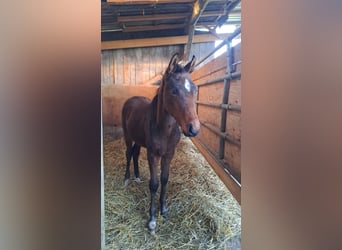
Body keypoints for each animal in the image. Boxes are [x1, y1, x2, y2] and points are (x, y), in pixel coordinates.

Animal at [121, 53, 199, 232]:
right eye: (174, 91)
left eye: (195, 89)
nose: (194, 129)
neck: (165, 129)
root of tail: (131, 99)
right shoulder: (153, 155)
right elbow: (154, 184)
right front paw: (152, 219)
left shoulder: (169, 154)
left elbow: (164, 179)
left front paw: (163, 210)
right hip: (128, 136)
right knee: (128, 153)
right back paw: (127, 178)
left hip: (139, 139)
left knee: (135, 153)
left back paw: (137, 176)